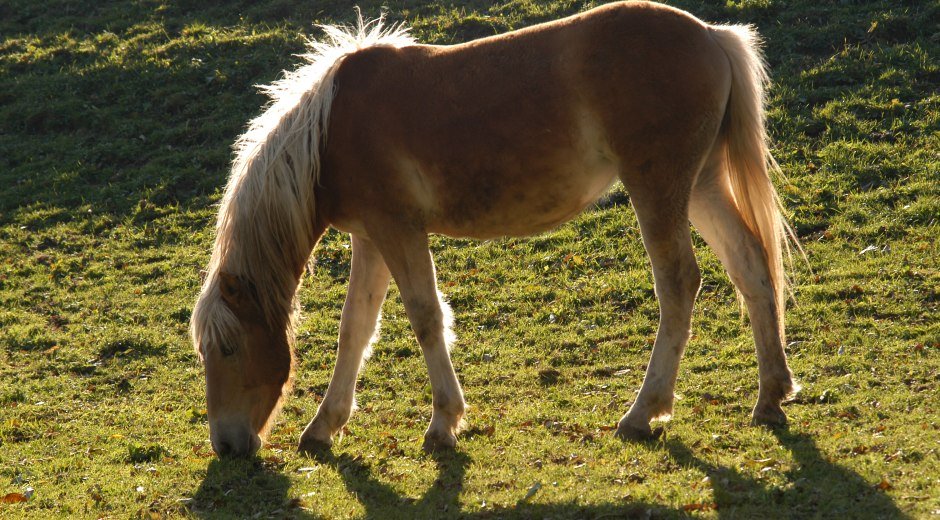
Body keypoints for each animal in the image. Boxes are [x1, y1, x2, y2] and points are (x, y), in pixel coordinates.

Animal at [191, 0, 800, 458]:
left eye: (227, 348)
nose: (226, 445)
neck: (328, 133)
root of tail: (712, 35)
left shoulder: (398, 230)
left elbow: (426, 318)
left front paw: (443, 424)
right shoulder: (370, 237)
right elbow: (356, 330)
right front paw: (324, 426)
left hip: (659, 188)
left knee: (678, 284)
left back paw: (642, 413)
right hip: (701, 185)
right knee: (751, 267)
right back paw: (771, 396)